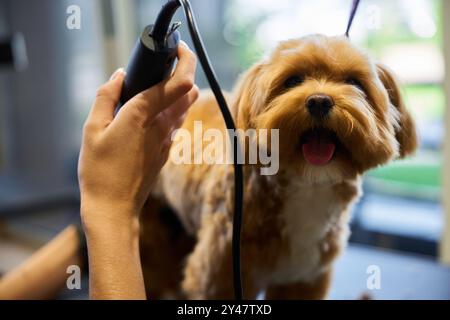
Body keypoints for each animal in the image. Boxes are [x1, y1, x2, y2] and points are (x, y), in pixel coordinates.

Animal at [139, 33, 416, 298]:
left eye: (354, 82)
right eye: (292, 81)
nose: (319, 101)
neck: (308, 185)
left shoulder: (303, 279)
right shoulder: (220, 275)